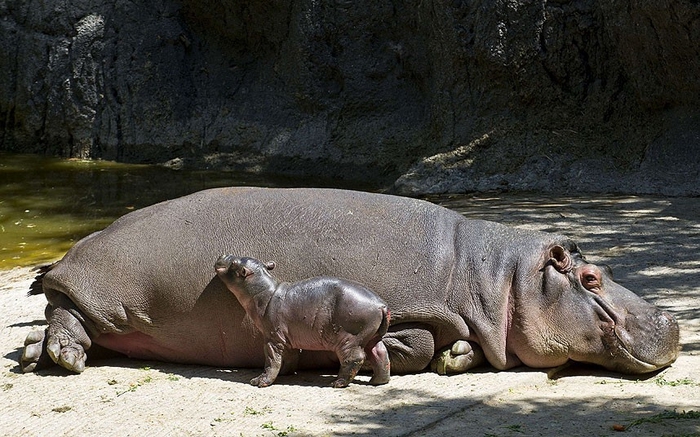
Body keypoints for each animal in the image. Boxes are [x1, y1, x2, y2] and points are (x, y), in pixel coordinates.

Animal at [213, 254, 392, 386]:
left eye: (234, 263)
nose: (222, 254)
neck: (263, 290)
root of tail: (381, 305)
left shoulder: (272, 337)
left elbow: (271, 359)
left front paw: (259, 382)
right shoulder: (287, 338)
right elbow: (289, 357)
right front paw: (285, 373)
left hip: (350, 338)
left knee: (355, 358)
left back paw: (337, 383)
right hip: (372, 336)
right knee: (380, 353)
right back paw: (377, 381)